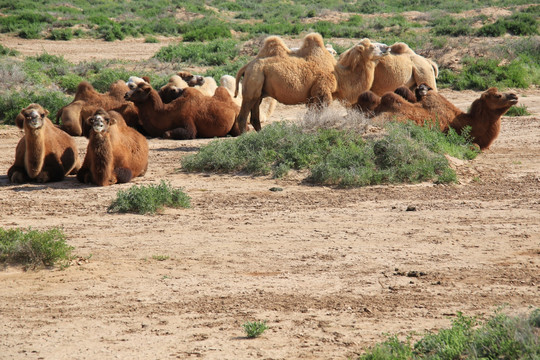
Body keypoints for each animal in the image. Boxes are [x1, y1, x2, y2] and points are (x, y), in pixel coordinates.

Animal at [236, 33, 388, 132]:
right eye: (372, 47)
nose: (386, 47)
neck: (339, 76)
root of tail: (247, 65)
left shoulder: (311, 96)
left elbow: (309, 116)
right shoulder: (322, 92)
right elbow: (318, 114)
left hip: (259, 87)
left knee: (254, 114)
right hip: (254, 79)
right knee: (243, 115)